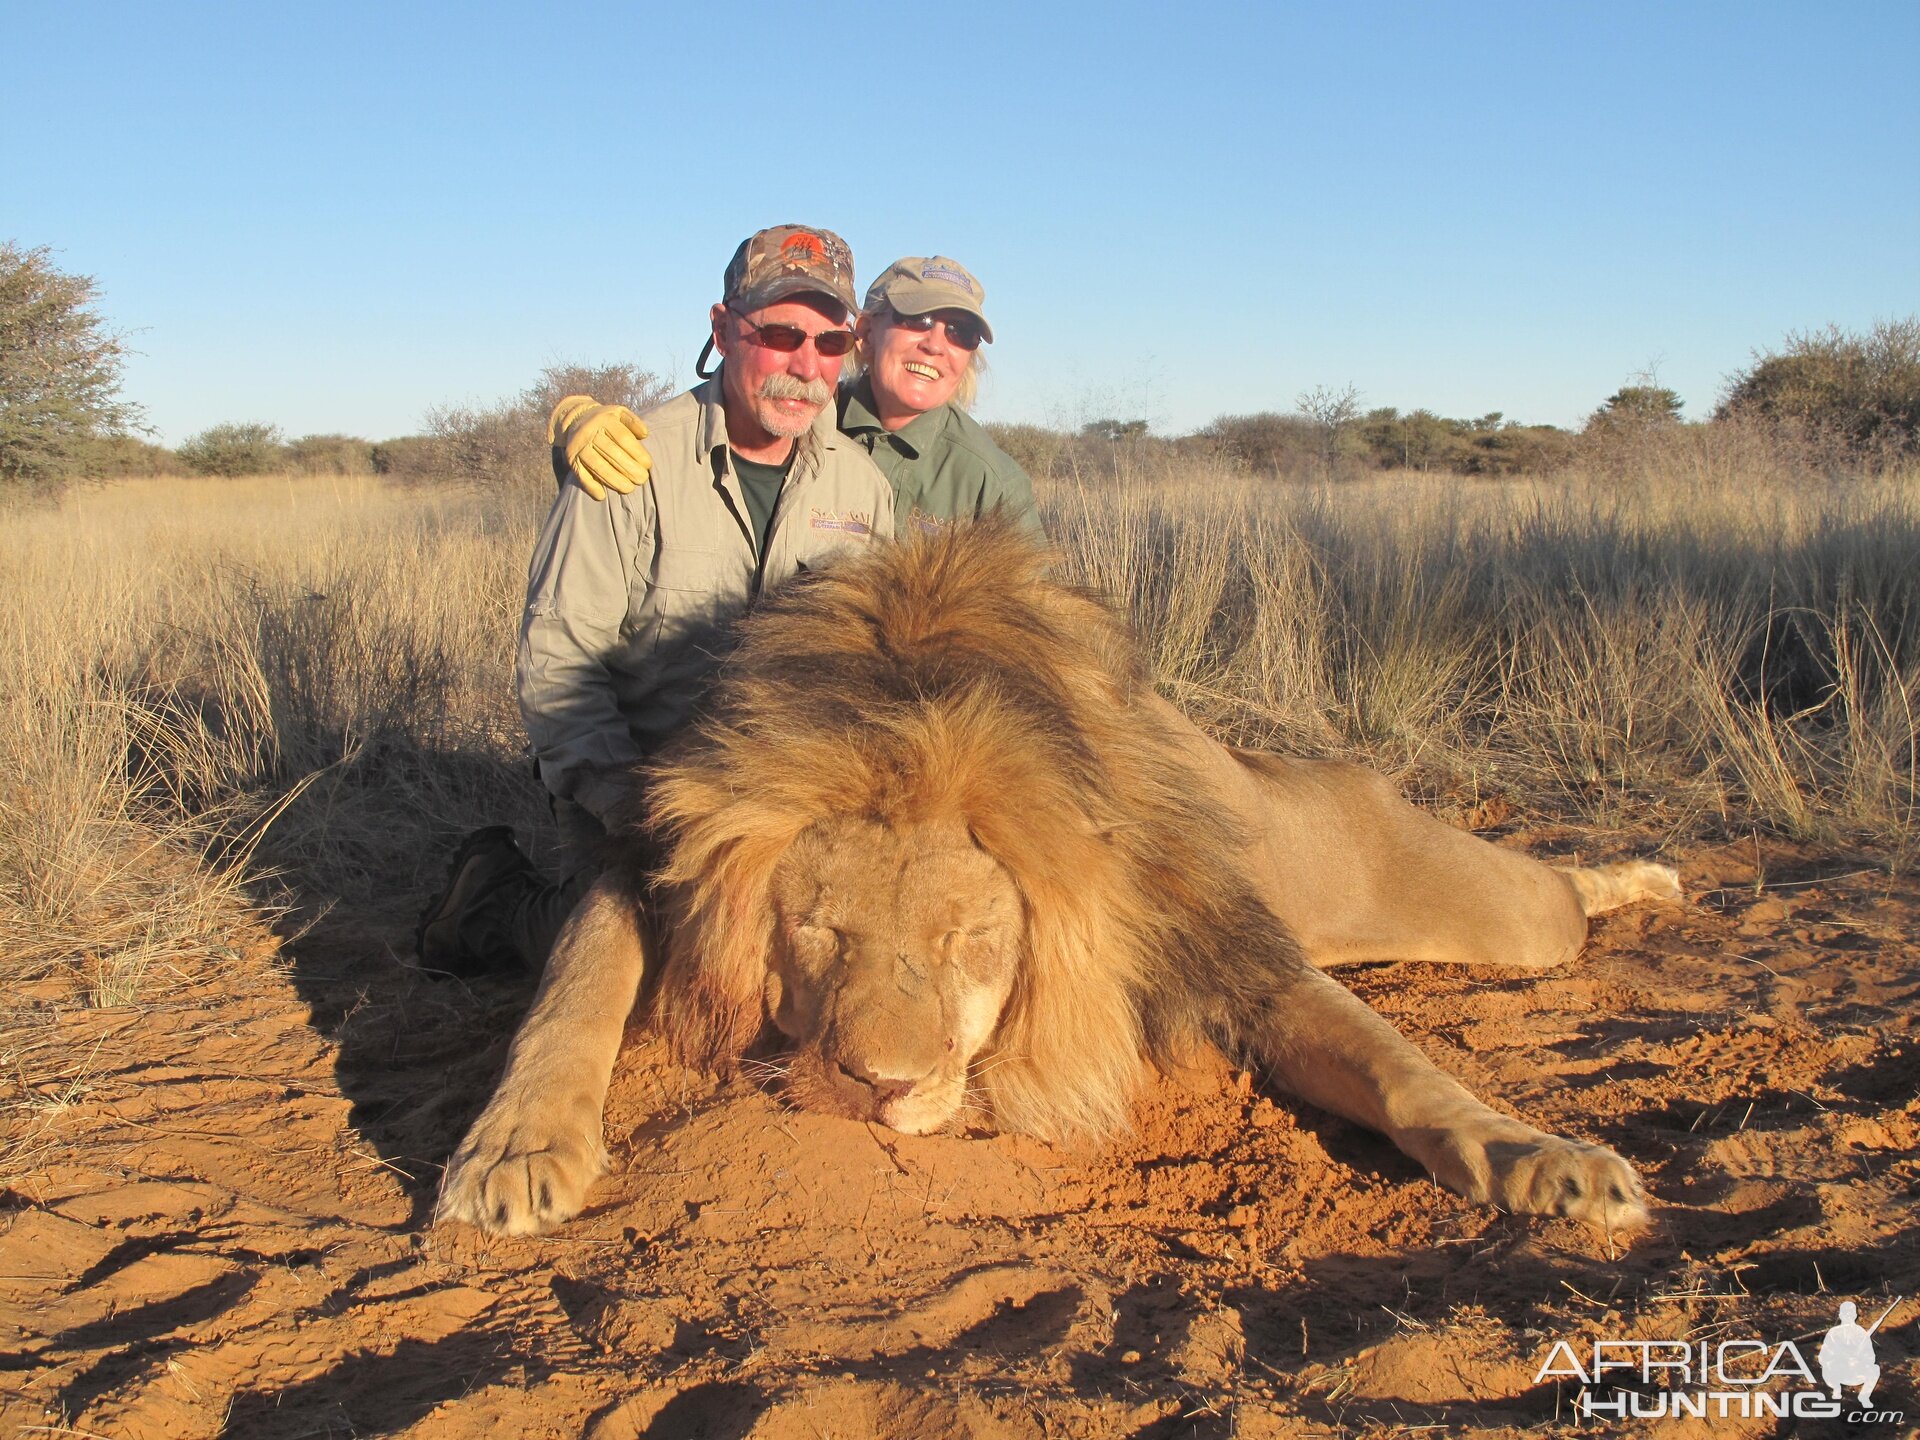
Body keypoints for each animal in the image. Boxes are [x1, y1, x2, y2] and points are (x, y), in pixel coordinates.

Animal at [439, 518, 1681, 1244]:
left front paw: (1543, 1160)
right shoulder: (654, 853)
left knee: (1554, 899)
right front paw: (515, 1152)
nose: (881, 1090)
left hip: (1470, 902)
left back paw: (1647, 878)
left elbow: (1400, 1066)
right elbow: (575, 991)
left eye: (967, 944)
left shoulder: (1219, 938)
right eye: (821, 933)